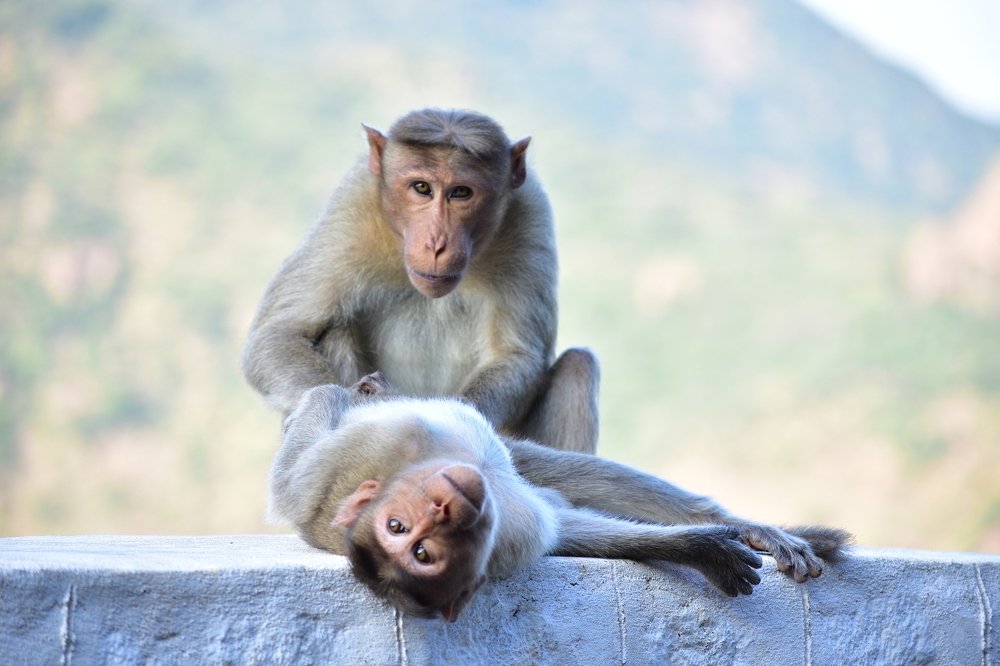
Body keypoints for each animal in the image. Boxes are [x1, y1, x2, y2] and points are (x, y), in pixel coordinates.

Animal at [242, 108, 599, 454]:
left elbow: (516, 355)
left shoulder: (528, 214)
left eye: (461, 192)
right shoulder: (353, 209)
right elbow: (279, 335)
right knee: (334, 331)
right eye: (422, 188)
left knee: (578, 366)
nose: (437, 243)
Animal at [270, 373, 851, 622]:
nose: (442, 509)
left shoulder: (376, 448)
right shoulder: (502, 539)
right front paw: (702, 549)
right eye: (421, 552)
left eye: (402, 531)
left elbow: (297, 473)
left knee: (531, 462)